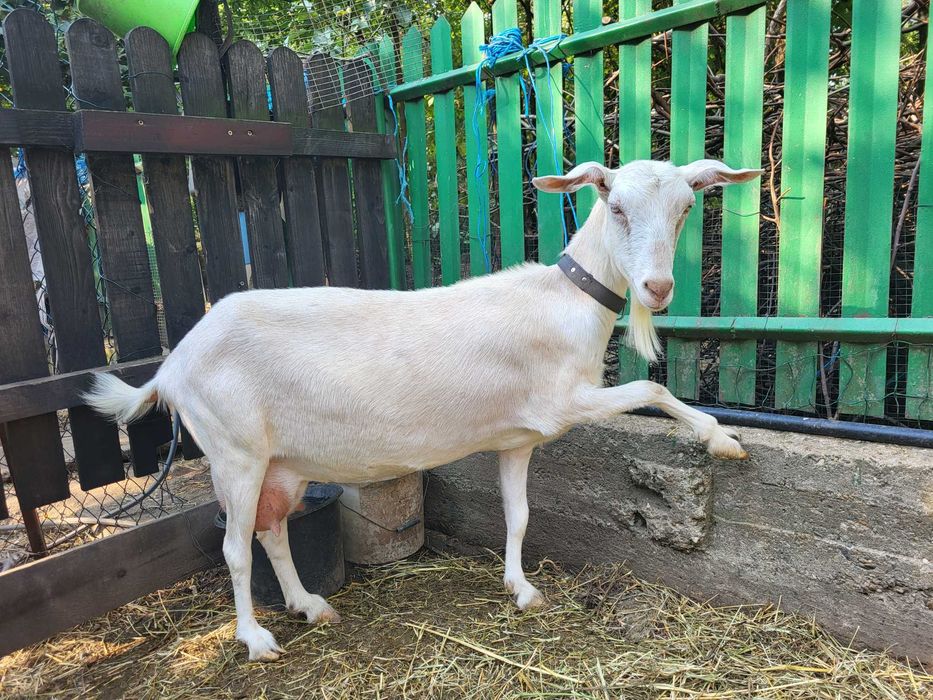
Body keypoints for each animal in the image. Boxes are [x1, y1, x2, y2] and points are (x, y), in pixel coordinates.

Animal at [85, 159, 760, 661]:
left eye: (686, 207)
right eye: (616, 206)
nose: (657, 288)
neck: (566, 302)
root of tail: (173, 366)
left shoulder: (517, 437)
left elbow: (518, 516)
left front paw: (521, 590)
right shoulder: (562, 400)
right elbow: (652, 390)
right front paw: (722, 440)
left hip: (282, 461)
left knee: (272, 530)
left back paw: (310, 605)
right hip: (234, 450)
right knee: (235, 547)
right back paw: (256, 639)